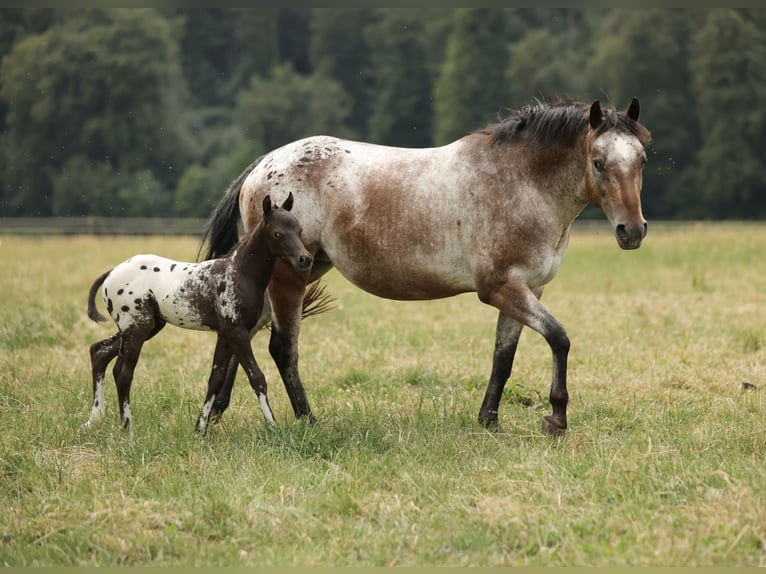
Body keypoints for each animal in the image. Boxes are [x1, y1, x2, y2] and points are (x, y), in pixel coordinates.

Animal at [86, 193, 315, 434]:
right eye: (277, 233)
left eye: (299, 230)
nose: (305, 259)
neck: (238, 272)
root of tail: (112, 272)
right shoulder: (237, 333)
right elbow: (257, 377)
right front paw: (273, 427)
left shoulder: (224, 335)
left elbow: (216, 379)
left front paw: (200, 429)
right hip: (137, 330)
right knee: (123, 374)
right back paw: (128, 429)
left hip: (145, 328)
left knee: (100, 352)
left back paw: (96, 418)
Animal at [200, 98, 652, 435]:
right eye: (598, 161)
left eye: (642, 160)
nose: (632, 231)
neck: (518, 182)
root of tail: (263, 164)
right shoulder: (501, 288)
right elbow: (559, 338)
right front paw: (556, 417)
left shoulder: (527, 289)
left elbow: (503, 358)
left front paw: (489, 421)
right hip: (288, 276)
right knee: (282, 348)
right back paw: (307, 420)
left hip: (305, 267)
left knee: (243, 338)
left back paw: (218, 410)